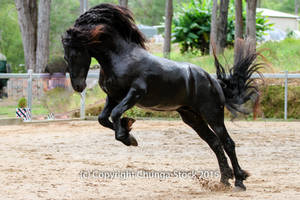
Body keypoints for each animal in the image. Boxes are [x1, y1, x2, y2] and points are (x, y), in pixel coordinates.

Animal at [62, 3, 262, 191]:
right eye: (65, 57)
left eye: (75, 53)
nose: (78, 86)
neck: (121, 58)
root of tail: (214, 81)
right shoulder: (113, 97)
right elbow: (103, 118)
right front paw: (128, 133)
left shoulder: (135, 93)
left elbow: (116, 114)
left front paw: (127, 135)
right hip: (192, 117)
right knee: (214, 143)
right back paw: (224, 180)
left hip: (212, 114)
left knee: (227, 143)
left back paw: (239, 181)